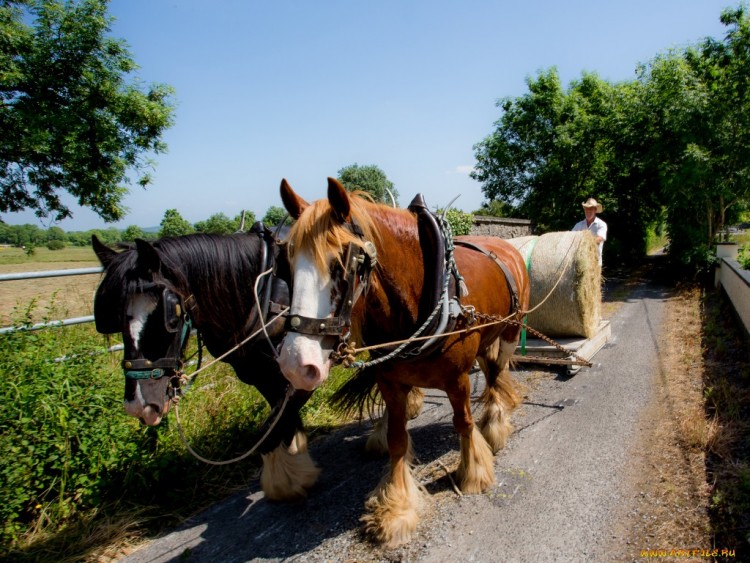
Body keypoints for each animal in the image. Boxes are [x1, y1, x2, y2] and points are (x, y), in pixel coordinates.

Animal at [92, 225, 320, 498]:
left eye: (169, 317)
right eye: (114, 318)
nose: (139, 406)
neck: (264, 291)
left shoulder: (301, 375)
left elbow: (269, 431)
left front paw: (288, 481)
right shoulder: (260, 376)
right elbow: (282, 422)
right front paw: (295, 468)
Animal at [280, 180, 532, 548]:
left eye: (342, 264)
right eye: (287, 266)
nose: (295, 363)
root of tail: (505, 246)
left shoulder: (457, 378)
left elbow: (463, 423)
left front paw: (474, 471)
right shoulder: (391, 382)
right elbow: (397, 439)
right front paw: (397, 506)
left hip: (512, 328)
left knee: (497, 372)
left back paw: (496, 421)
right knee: (490, 369)